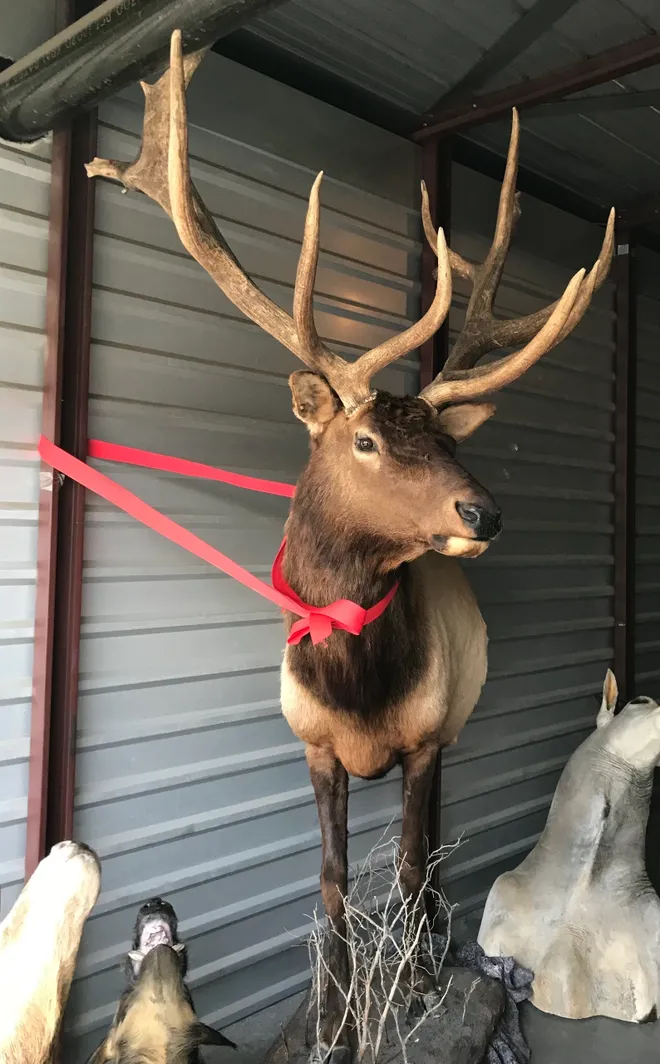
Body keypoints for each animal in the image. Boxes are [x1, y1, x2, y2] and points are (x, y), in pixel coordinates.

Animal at [85, 30, 614, 1064]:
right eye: (366, 439)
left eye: (448, 437)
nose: (483, 513)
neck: (358, 690)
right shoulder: (312, 745)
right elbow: (329, 882)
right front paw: (332, 1016)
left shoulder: (426, 737)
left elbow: (408, 866)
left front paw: (412, 995)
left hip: (459, 723)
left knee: (432, 860)